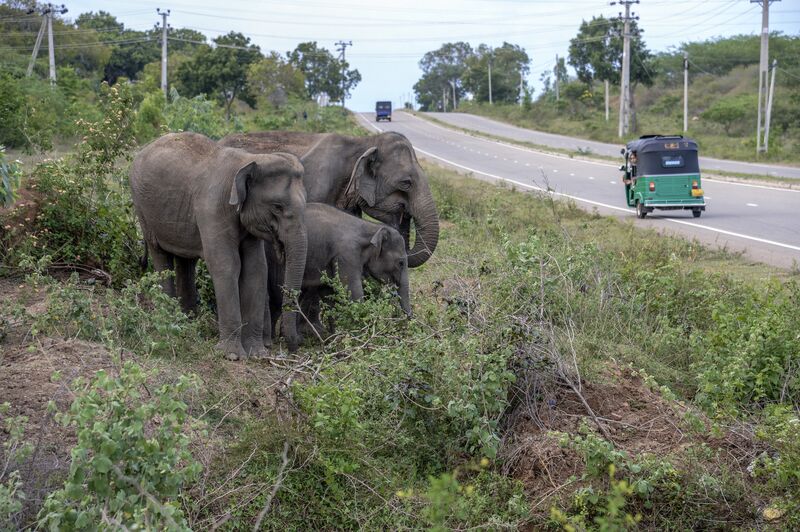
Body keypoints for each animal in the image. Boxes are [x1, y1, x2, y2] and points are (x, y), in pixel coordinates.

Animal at [130, 131, 308, 360]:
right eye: (277, 207)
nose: (294, 346)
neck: (248, 160)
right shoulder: (212, 207)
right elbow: (226, 264)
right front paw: (232, 356)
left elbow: (256, 268)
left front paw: (257, 354)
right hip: (143, 208)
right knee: (160, 255)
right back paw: (170, 320)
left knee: (186, 261)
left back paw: (187, 323)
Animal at [274, 202, 416, 338]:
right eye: (401, 263)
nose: (409, 324)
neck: (371, 227)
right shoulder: (346, 256)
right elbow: (354, 293)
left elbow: (328, 293)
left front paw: (336, 337)